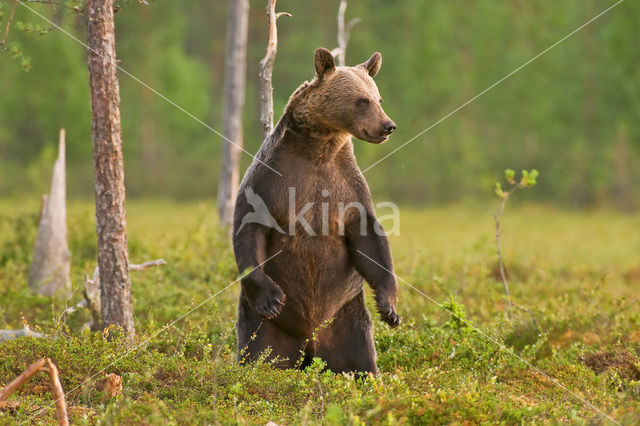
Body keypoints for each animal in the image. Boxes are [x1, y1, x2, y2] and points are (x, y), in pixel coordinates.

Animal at [230, 47, 400, 372]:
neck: (319, 149)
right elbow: (249, 228)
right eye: (362, 100)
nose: (388, 126)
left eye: (379, 98)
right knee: (258, 352)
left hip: (348, 318)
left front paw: (390, 308)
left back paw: (368, 373)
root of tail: (310, 341)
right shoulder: (270, 179)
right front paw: (272, 297)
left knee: (361, 356)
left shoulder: (347, 187)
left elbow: (369, 238)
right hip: (265, 330)